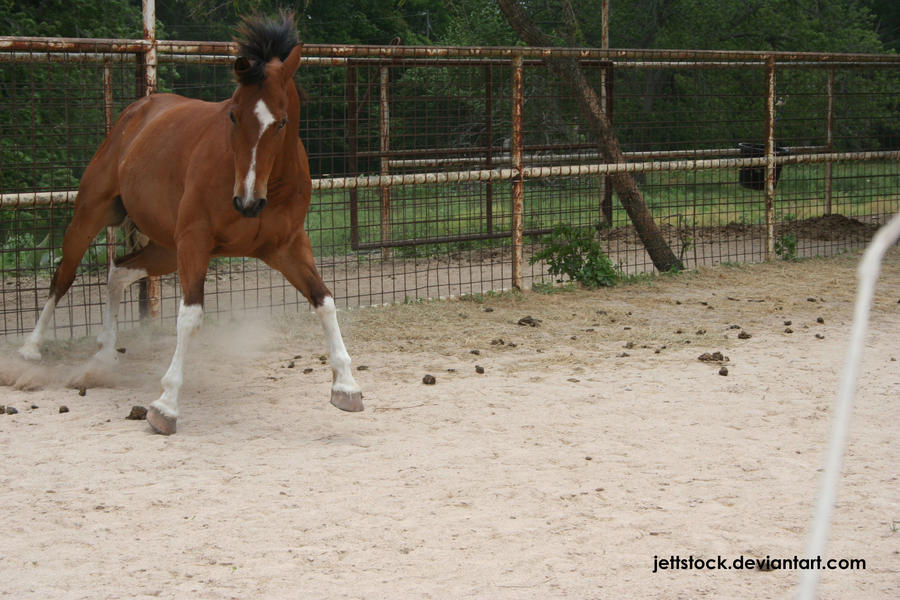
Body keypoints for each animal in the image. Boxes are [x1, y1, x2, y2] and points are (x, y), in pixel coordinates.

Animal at [18, 12, 362, 436]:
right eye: (233, 114)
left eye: (281, 123)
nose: (247, 202)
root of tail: (139, 111)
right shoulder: (196, 242)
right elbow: (190, 316)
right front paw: (165, 406)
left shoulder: (287, 247)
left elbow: (324, 300)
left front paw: (347, 387)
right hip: (92, 215)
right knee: (62, 278)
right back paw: (30, 350)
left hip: (166, 247)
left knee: (118, 272)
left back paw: (103, 357)